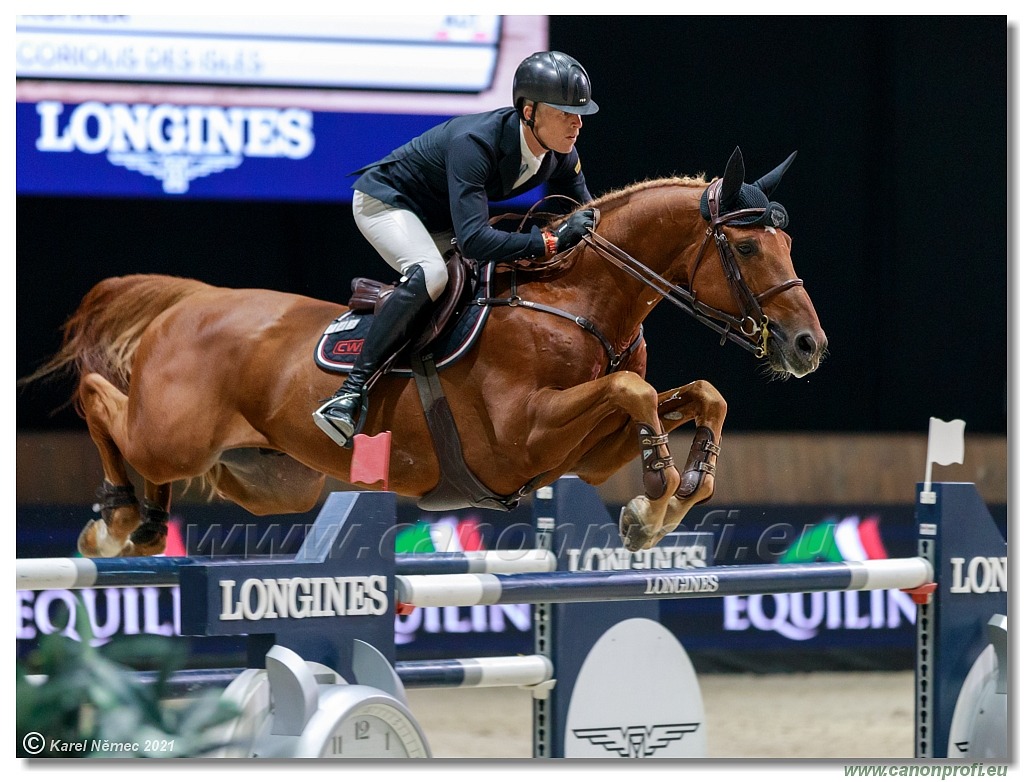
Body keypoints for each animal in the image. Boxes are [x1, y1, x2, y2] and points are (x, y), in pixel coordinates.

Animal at [24, 146, 823, 560]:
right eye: (747, 247)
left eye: (788, 241)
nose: (808, 345)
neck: (579, 302)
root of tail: (189, 302)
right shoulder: (524, 436)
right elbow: (635, 395)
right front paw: (657, 492)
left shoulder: (587, 452)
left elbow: (698, 398)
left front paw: (667, 505)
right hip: (173, 433)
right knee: (102, 401)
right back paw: (112, 519)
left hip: (268, 477)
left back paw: (145, 521)